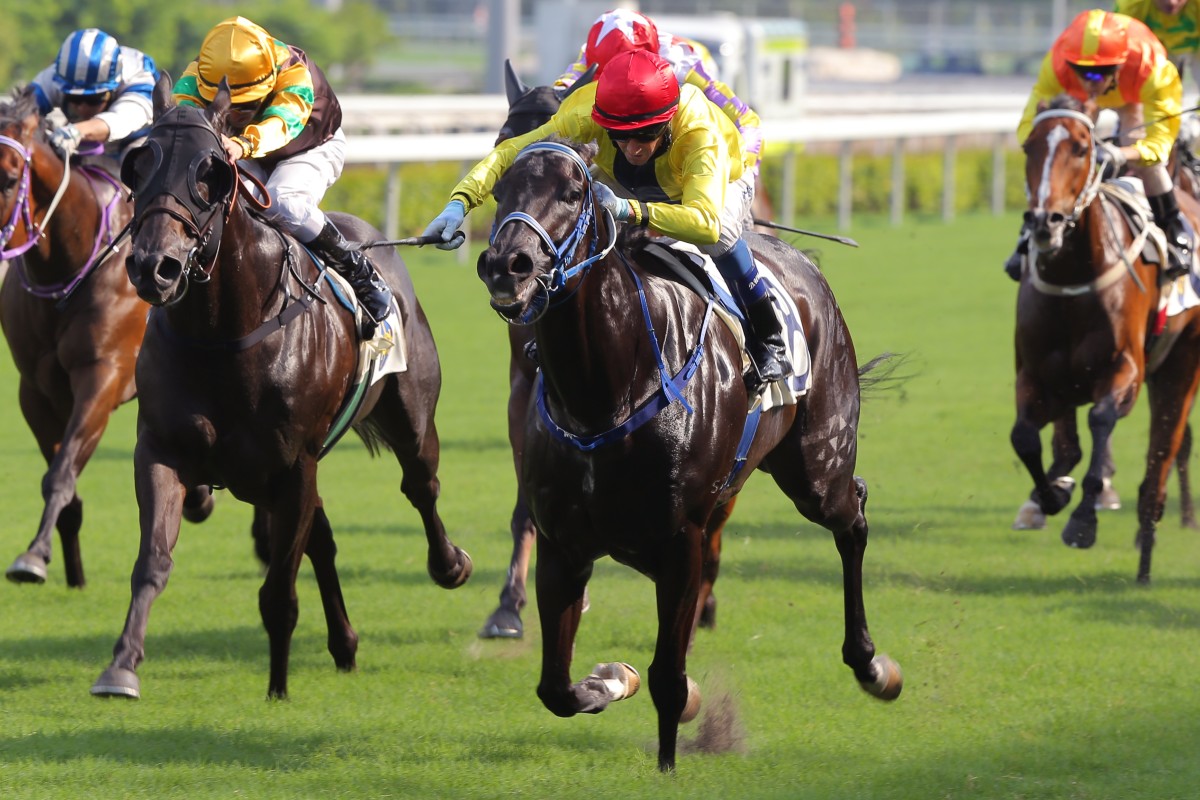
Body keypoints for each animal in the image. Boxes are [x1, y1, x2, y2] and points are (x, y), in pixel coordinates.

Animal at [0, 87, 213, 587]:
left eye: (9, 178)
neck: (68, 265)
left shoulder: (103, 375)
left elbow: (61, 474)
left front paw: (33, 555)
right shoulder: (34, 390)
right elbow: (63, 478)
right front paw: (62, 565)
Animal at [88, 76, 470, 700]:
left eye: (211, 171)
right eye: (137, 166)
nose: (153, 267)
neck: (225, 332)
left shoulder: (293, 465)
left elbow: (279, 592)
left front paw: (277, 689)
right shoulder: (164, 451)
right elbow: (153, 563)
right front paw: (120, 668)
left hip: (410, 418)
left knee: (420, 485)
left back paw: (450, 564)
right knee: (325, 538)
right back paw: (344, 645)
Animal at [475, 137, 902, 767]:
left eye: (573, 192)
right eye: (501, 190)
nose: (508, 264)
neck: (606, 392)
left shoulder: (681, 542)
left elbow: (668, 681)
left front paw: (668, 764)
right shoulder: (564, 545)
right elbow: (556, 687)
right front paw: (611, 678)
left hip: (816, 467)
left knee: (853, 517)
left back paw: (872, 665)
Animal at [1017, 95, 1200, 582]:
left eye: (1082, 148)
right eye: (1028, 146)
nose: (1044, 222)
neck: (1073, 275)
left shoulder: (1126, 371)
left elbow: (1101, 421)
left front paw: (1083, 518)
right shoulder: (1036, 375)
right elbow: (1026, 438)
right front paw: (1050, 496)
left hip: (1180, 367)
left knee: (1163, 453)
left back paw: (1147, 552)